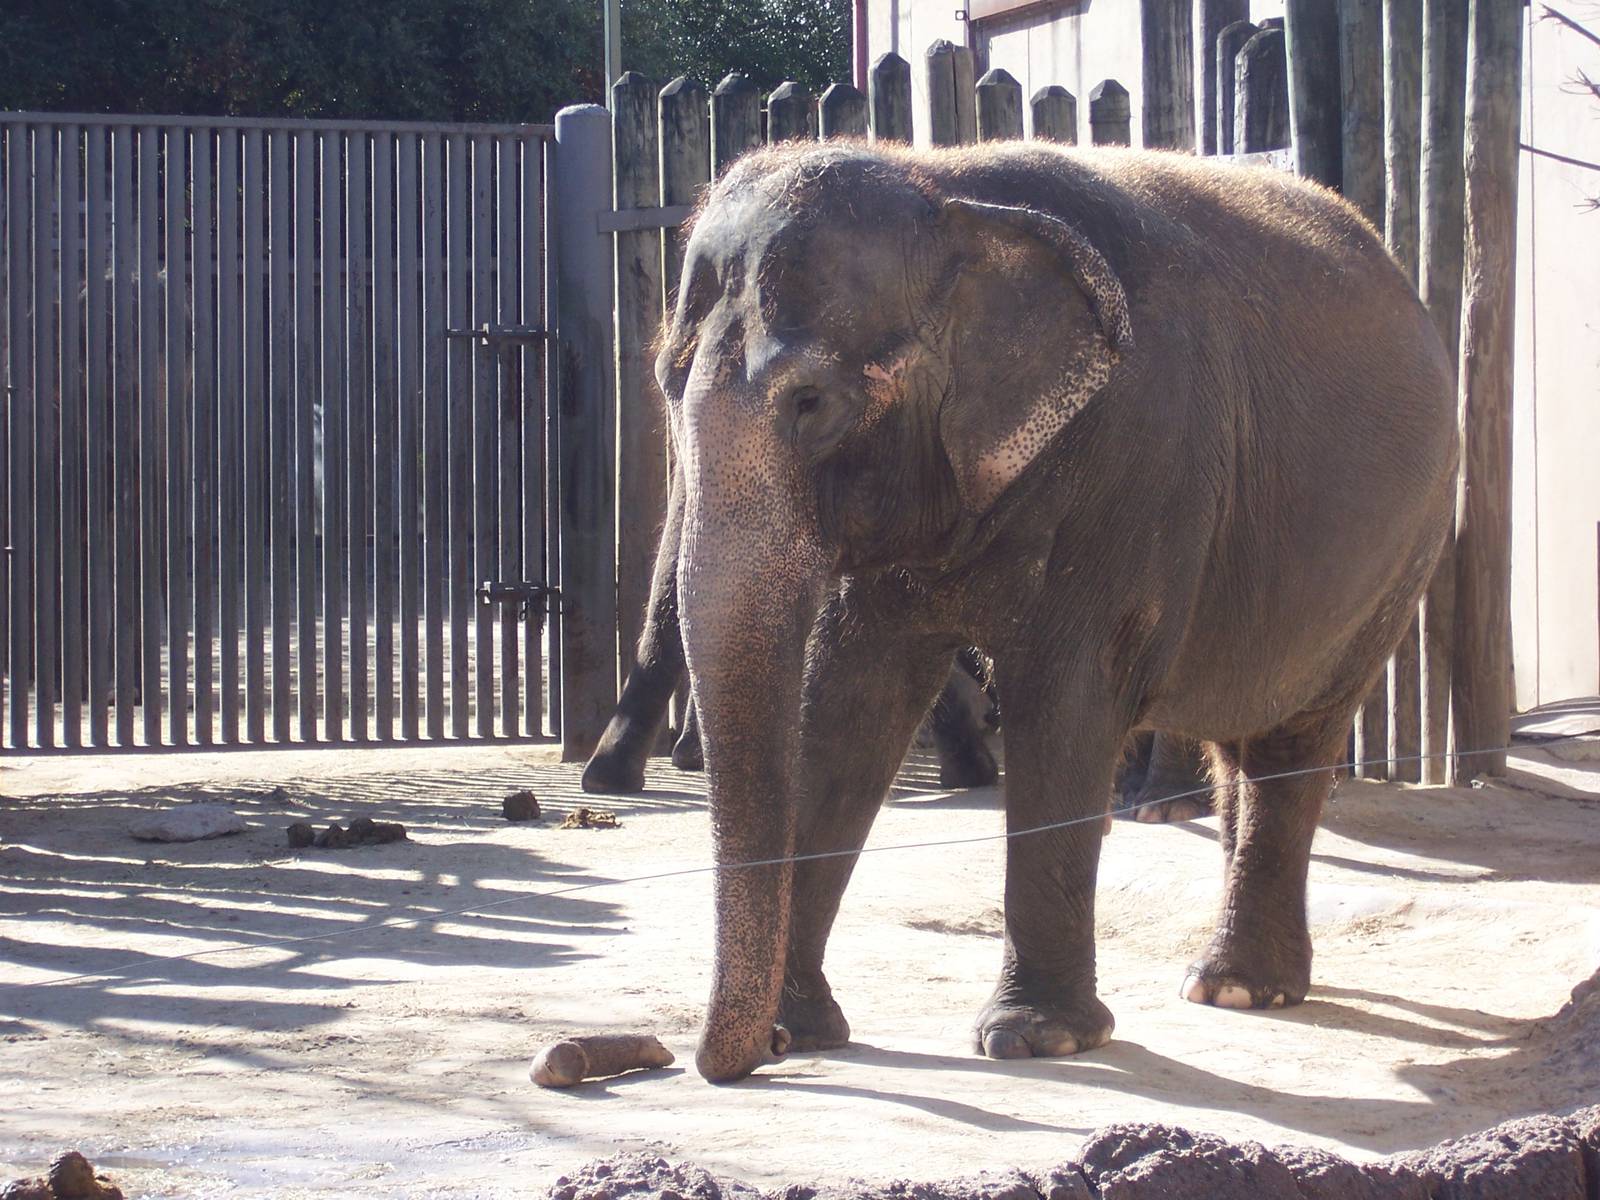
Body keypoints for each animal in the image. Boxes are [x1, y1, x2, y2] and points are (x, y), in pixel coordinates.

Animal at [653, 139, 1457, 1083]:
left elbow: (1067, 700)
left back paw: (1239, 989)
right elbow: (848, 702)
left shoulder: (1138, 458)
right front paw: (802, 1028)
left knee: (1293, 736)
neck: (944, 186)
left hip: (1399, 556)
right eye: (667, 382)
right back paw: (1230, 984)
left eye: (810, 401)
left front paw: (1036, 1041)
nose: (744, 1060)